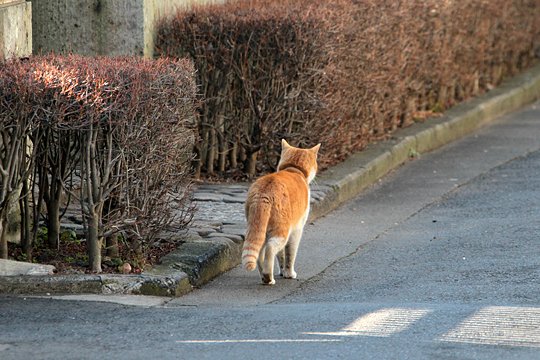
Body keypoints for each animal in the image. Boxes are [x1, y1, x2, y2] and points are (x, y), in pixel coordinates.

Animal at [242, 139, 320, 286]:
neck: (294, 170)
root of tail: (264, 192)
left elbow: (281, 256)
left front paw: (283, 271)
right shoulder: (296, 230)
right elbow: (290, 254)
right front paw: (289, 273)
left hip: (258, 228)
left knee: (260, 252)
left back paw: (265, 276)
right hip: (281, 230)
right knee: (270, 249)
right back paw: (268, 277)